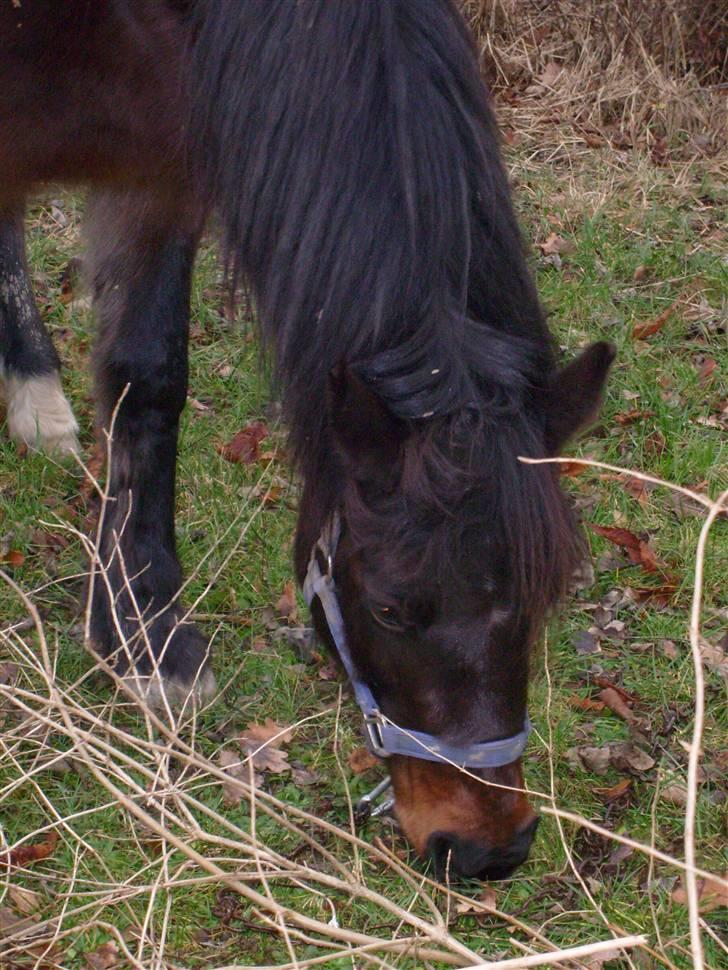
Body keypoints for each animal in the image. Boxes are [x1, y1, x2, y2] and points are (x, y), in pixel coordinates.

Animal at [0, 0, 616, 876]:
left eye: (543, 595)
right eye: (389, 607)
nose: (487, 849)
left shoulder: (165, 155)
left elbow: (150, 372)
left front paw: (143, 631)